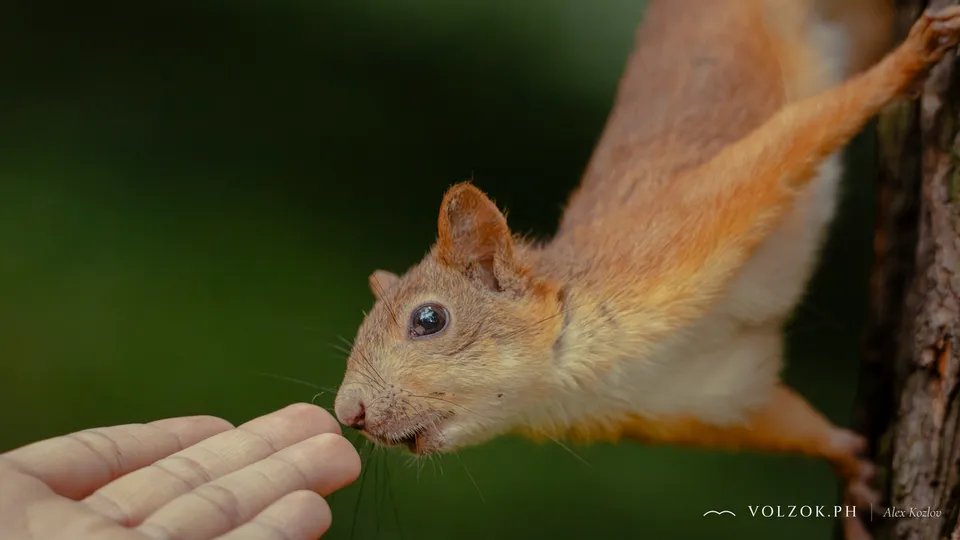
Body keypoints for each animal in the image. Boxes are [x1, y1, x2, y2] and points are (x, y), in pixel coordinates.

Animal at [334, 2, 960, 537]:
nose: (348, 413)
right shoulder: (700, 396)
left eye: (429, 319)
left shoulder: (676, 232)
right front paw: (850, 471)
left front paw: (911, 59)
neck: (582, 375)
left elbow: (796, 134)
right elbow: (788, 422)